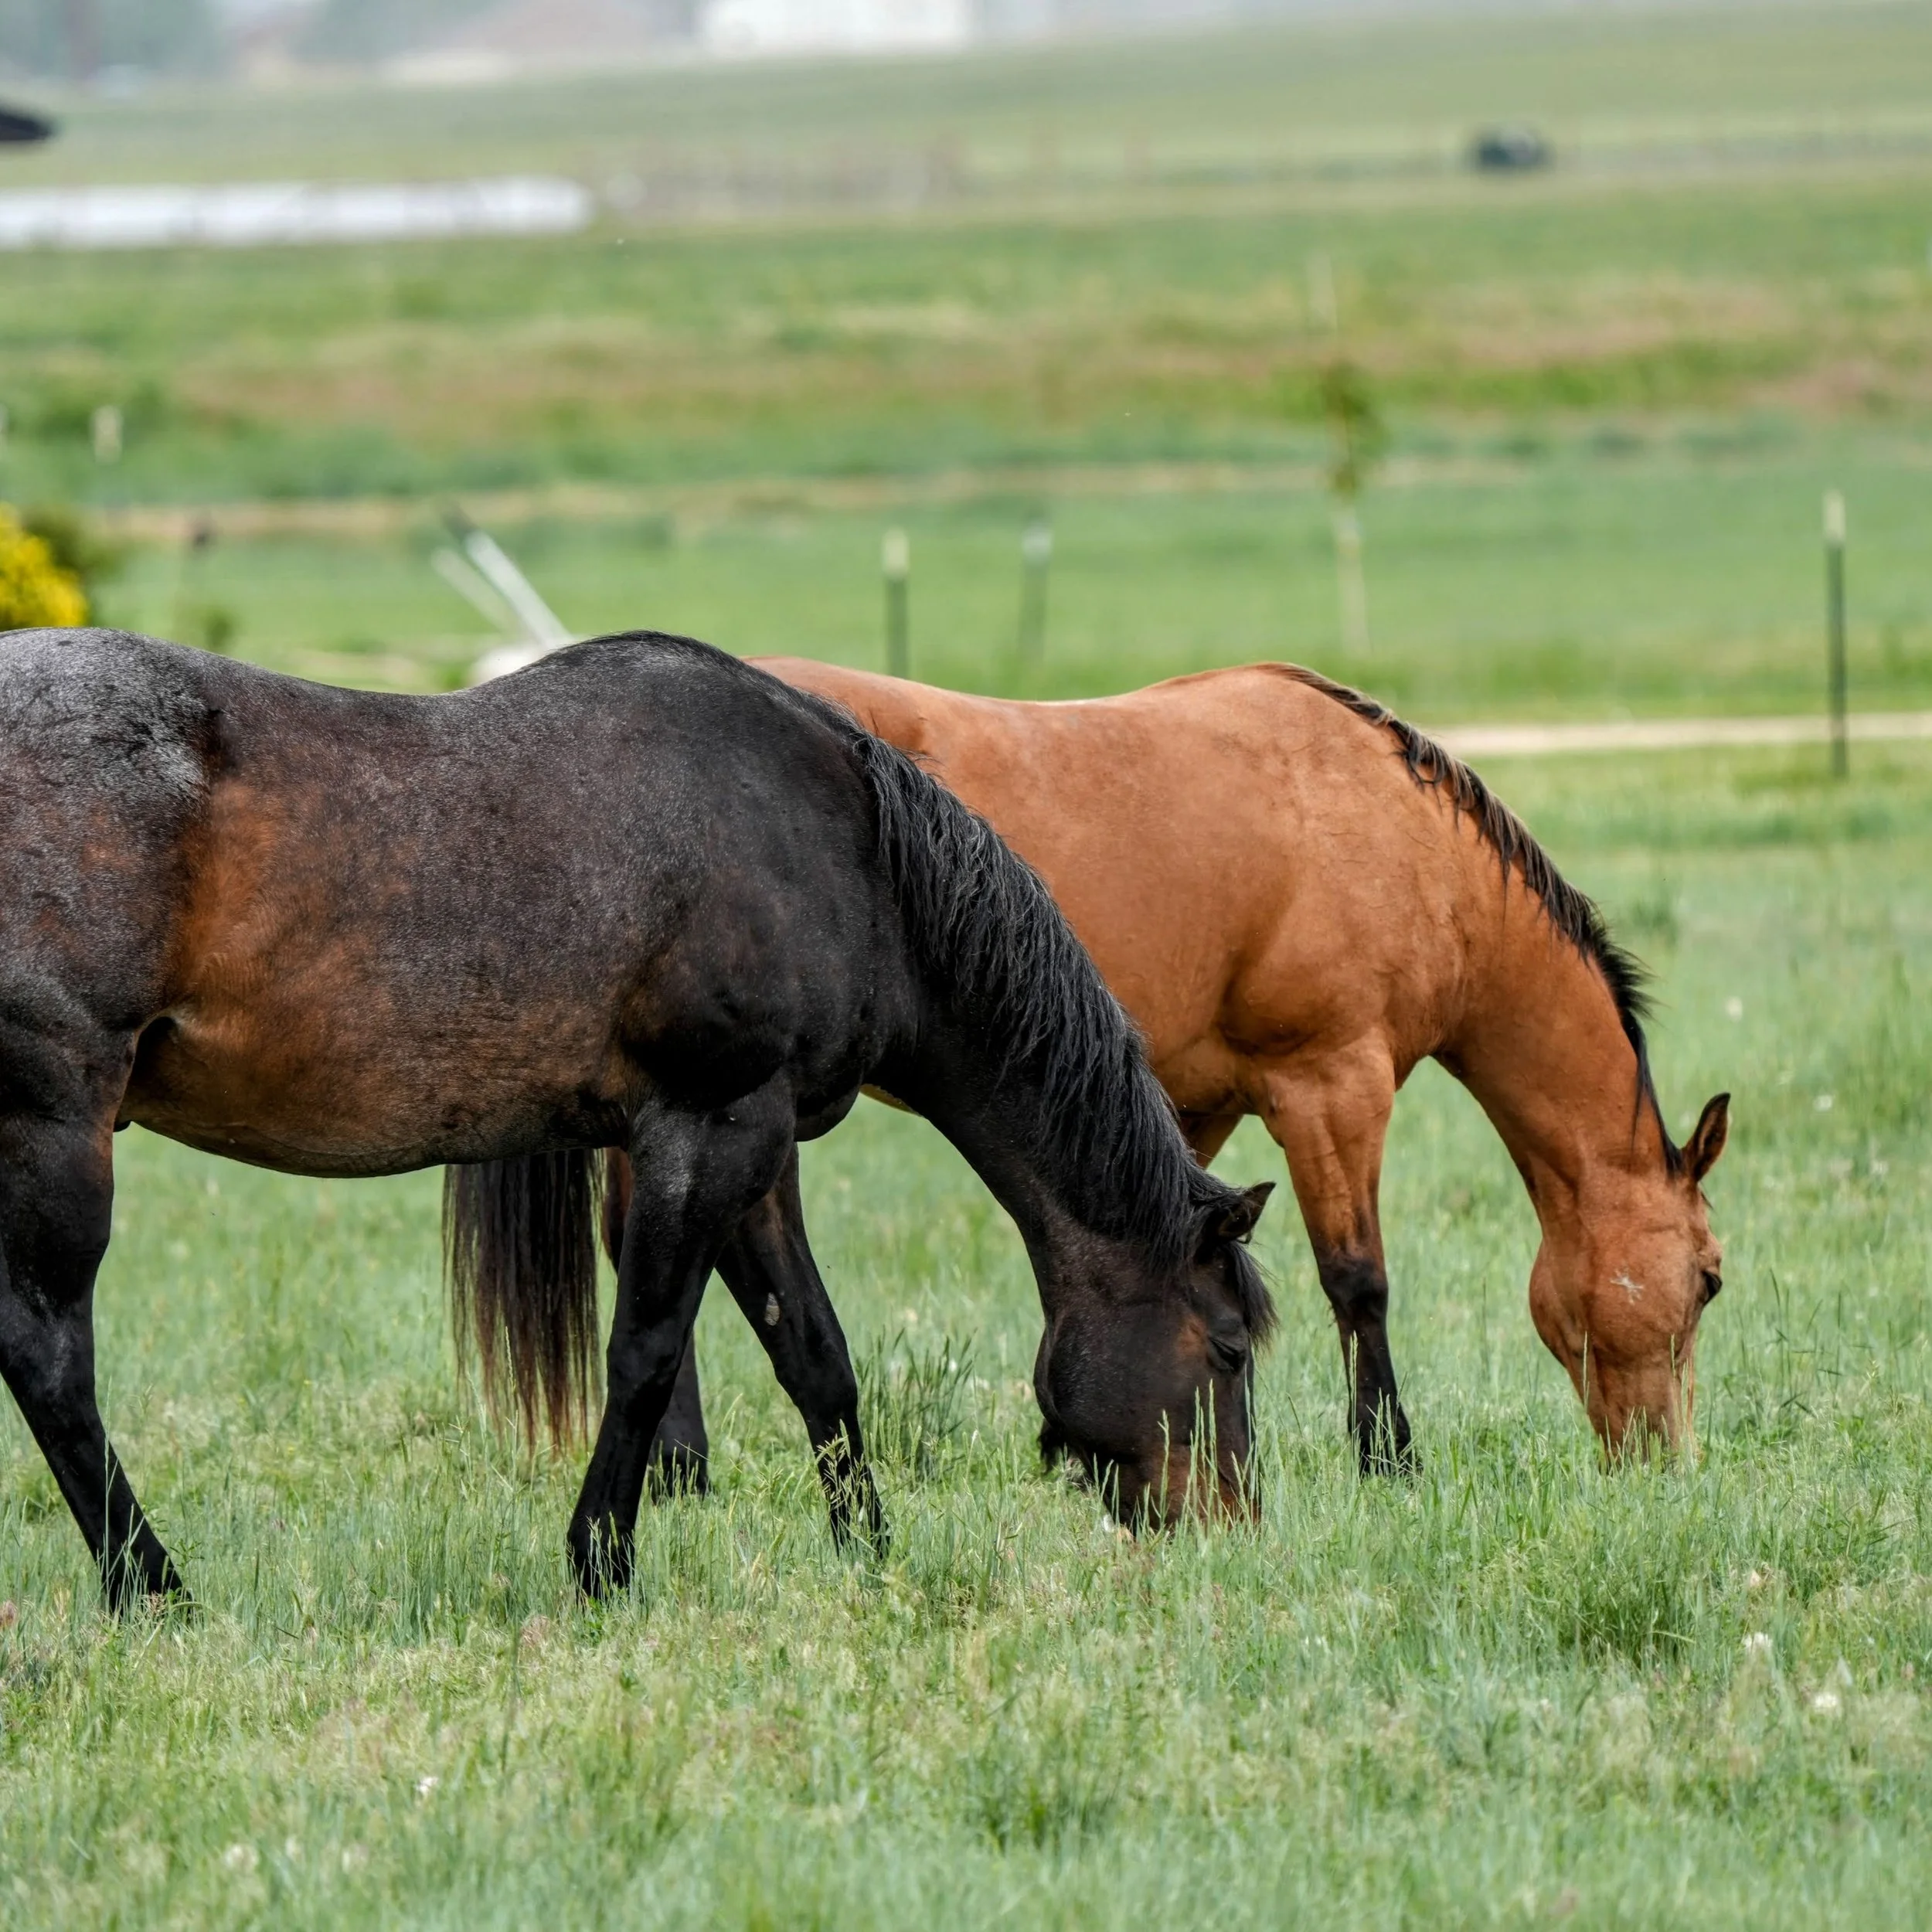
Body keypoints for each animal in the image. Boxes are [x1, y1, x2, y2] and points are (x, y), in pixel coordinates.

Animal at [0, 627, 1274, 1612]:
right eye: (1228, 1347)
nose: (1234, 1529)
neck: (843, 845)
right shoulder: (705, 1132)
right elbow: (647, 1353)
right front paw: (601, 1565)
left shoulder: (758, 1155)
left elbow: (817, 1359)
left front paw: (868, 1553)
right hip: (56, 1131)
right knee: (52, 1359)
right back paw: (153, 1587)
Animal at [611, 656, 1729, 1484]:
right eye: (1711, 1280)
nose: (1667, 1463)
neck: (1389, 829)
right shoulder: (1331, 1088)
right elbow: (1358, 1281)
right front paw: (1388, 1462)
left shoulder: (1195, 1110)